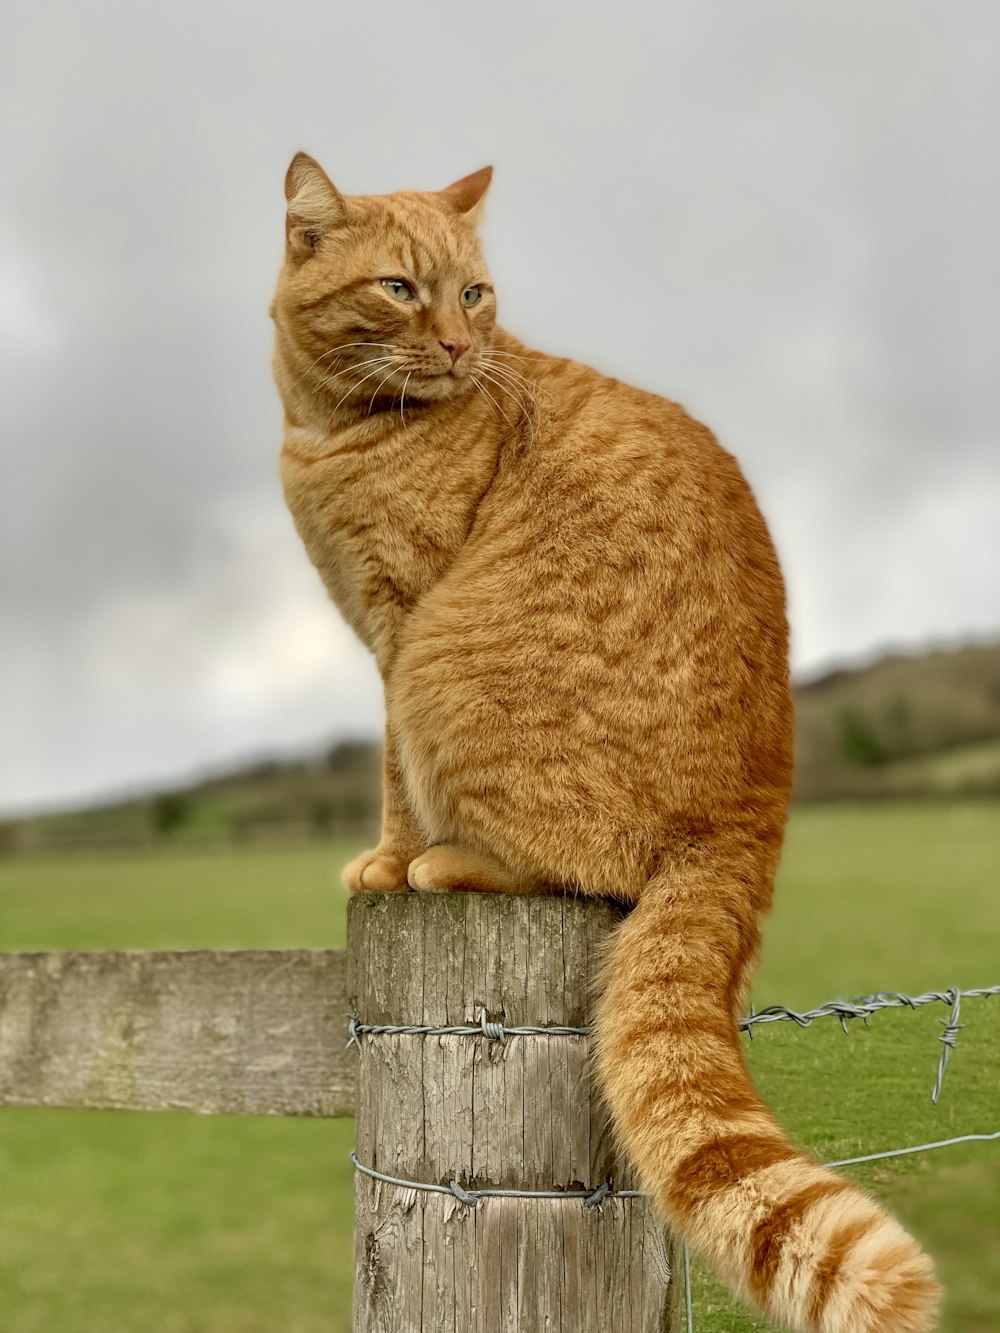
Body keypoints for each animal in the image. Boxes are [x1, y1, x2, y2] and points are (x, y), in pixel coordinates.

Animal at [272, 155, 938, 1333]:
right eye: (402, 289)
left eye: (474, 294)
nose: (461, 346)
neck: (335, 425)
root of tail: (754, 804)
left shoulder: (400, 630)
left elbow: (393, 775)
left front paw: (391, 860)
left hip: (447, 665)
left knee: (579, 868)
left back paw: (447, 863)